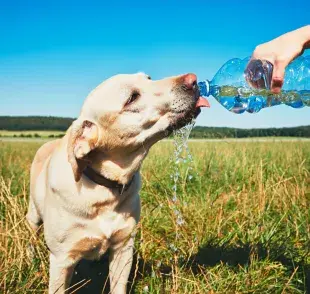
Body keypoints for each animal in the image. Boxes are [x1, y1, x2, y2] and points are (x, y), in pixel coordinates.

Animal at [26, 72, 209, 294]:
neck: (104, 189)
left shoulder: (124, 247)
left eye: (149, 78)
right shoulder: (62, 259)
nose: (193, 79)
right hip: (33, 216)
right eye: (132, 98)